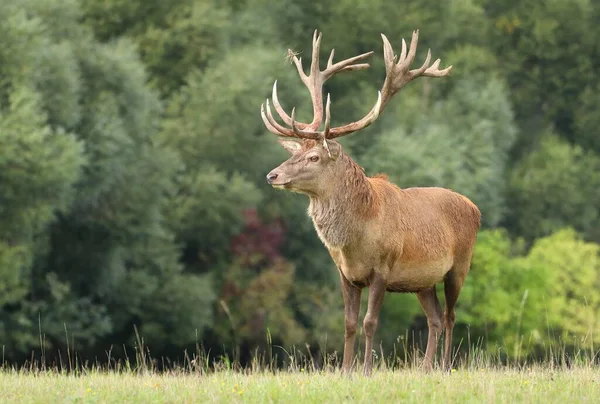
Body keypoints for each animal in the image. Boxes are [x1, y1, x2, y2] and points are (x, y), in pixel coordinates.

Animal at [260, 30, 480, 376]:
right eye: (294, 153)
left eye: (314, 156)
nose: (273, 175)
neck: (357, 239)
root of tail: (475, 208)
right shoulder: (345, 273)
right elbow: (349, 322)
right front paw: (345, 370)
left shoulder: (383, 269)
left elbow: (369, 322)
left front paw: (365, 370)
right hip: (422, 282)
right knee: (433, 318)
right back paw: (425, 368)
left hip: (460, 265)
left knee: (449, 315)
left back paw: (444, 366)